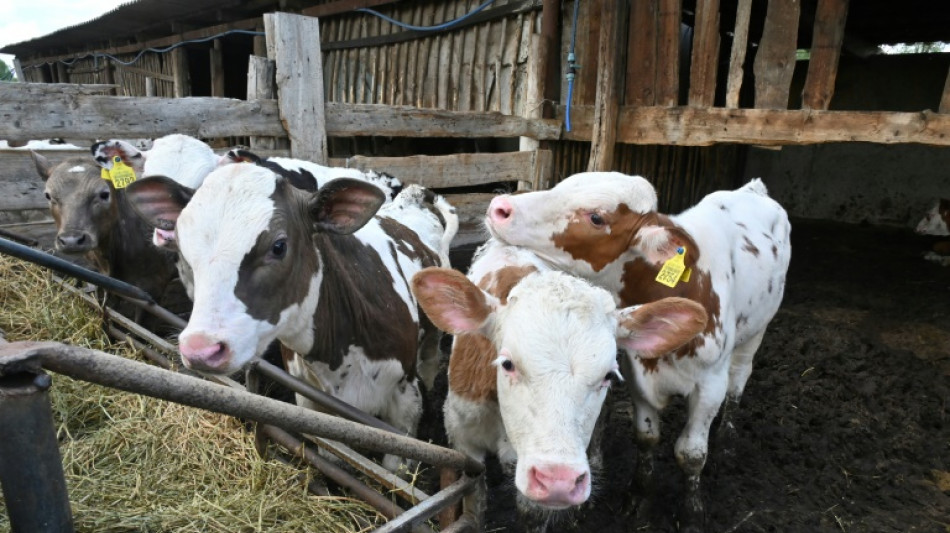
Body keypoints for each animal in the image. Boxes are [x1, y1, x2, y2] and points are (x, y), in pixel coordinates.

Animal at [124, 164, 460, 468]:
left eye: (278, 246)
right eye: (183, 249)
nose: (201, 349)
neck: (337, 356)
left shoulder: (404, 403)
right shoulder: (312, 405)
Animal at [410, 240, 708, 528]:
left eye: (608, 376)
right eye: (507, 364)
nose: (559, 482)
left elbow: (531, 514)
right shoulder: (461, 437)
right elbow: (476, 502)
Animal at [488, 172, 792, 528]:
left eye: (597, 217)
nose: (500, 207)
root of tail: (753, 189)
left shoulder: (710, 385)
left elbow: (691, 454)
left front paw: (692, 513)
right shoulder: (640, 375)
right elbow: (646, 437)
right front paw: (638, 496)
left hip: (757, 331)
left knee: (740, 379)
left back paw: (727, 439)